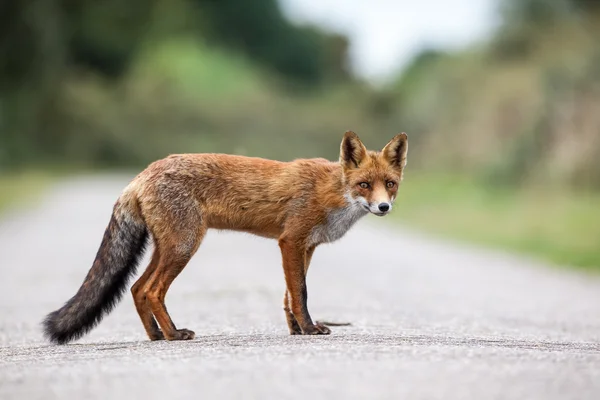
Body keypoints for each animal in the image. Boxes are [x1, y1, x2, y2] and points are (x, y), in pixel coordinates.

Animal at [42, 131, 408, 344]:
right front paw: (308, 330)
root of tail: (142, 174)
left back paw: (156, 335)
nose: (384, 207)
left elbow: (289, 295)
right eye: (364, 185)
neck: (332, 191)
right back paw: (173, 334)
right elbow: (300, 293)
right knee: (152, 290)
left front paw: (295, 330)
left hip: (168, 247)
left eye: (389, 184)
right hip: (184, 246)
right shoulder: (291, 241)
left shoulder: (306, 247)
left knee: (136, 288)